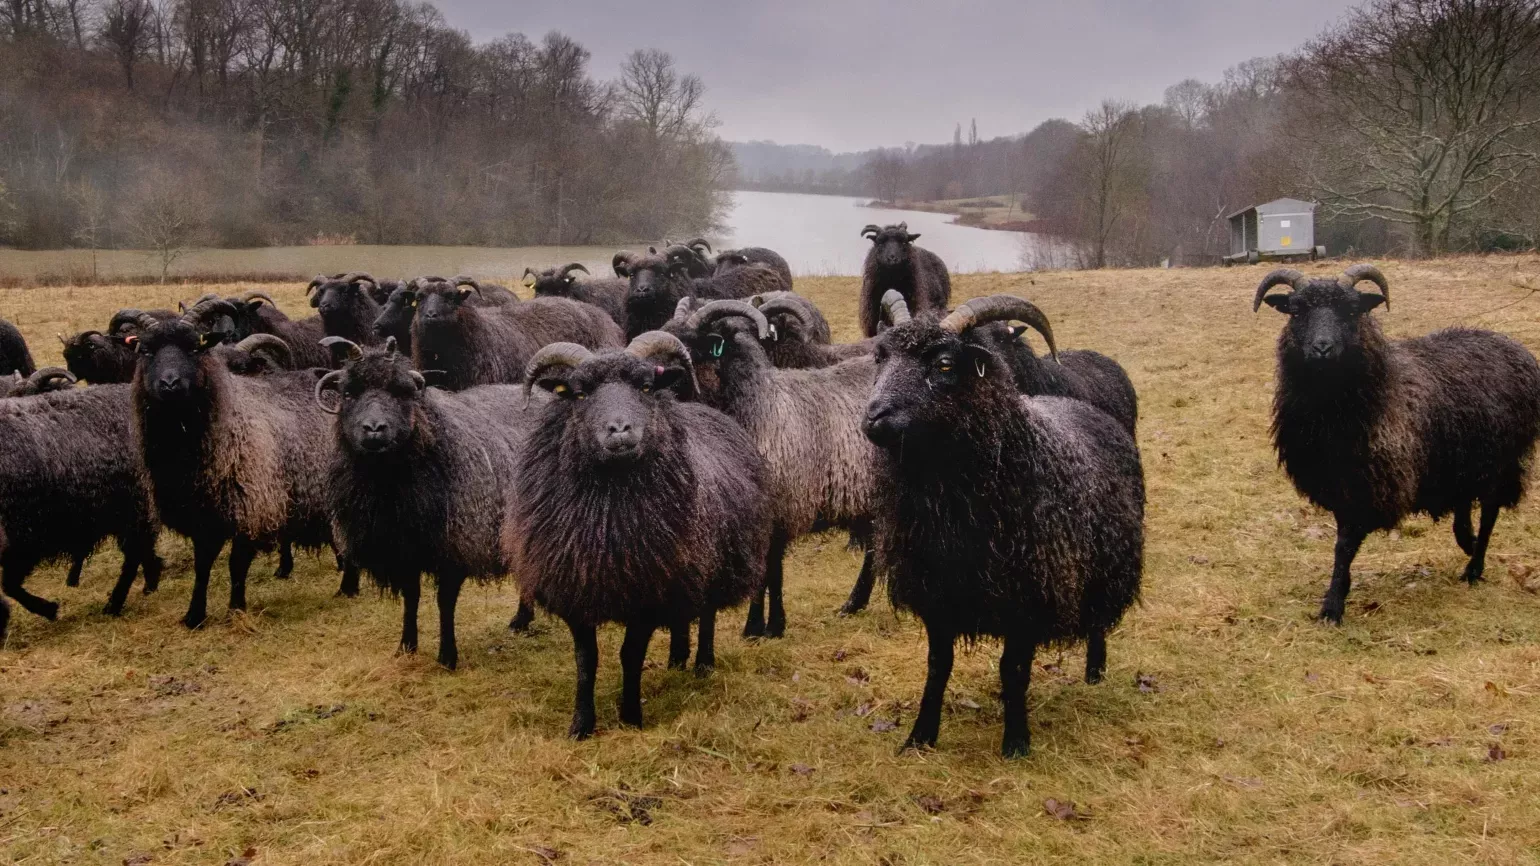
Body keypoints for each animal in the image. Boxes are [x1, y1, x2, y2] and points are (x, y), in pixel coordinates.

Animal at [508, 331, 770, 733]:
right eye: (579, 394)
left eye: (646, 387)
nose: (618, 430)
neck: (609, 522)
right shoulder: (577, 589)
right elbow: (586, 660)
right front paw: (581, 725)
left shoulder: (649, 592)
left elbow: (630, 655)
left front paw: (631, 715)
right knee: (684, 617)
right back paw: (677, 658)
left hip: (712, 563)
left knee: (707, 614)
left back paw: (702, 664)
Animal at [868, 292, 1145, 751]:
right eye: (880, 356)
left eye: (944, 363)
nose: (873, 416)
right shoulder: (936, 592)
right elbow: (938, 666)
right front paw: (920, 737)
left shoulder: (1029, 594)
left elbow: (1013, 671)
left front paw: (1016, 741)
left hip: (1106, 562)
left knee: (1098, 620)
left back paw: (1095, 671)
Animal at [1250, 263, 1540, 619]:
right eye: (1296, 310)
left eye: (1352, 310)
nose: (1322, 348)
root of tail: (1516, 347)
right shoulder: (1337, 482)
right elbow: (1342, 541)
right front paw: (1340, 590)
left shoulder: (1371, 483)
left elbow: (1344, 544)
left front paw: (1333, 604)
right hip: (1458, 456)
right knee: (1463, 505)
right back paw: (1468, 542)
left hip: (1501, 460)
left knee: (1489, 512)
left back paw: (1475, 565)